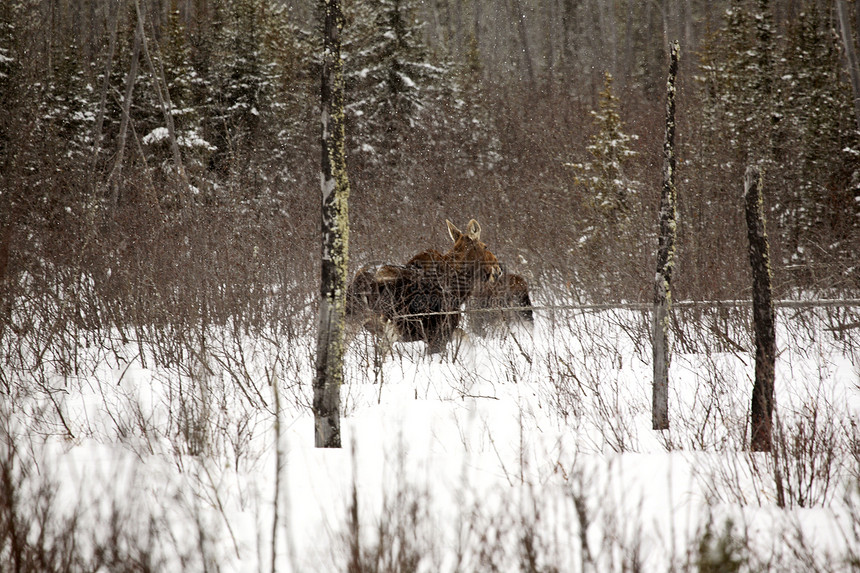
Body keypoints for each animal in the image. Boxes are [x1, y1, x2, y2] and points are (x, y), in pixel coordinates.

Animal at [346, 218, 536, 356]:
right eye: (485, 246)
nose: (498, 268)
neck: (459, 289)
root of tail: (359, 280)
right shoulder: (438, 334)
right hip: (382, 326)